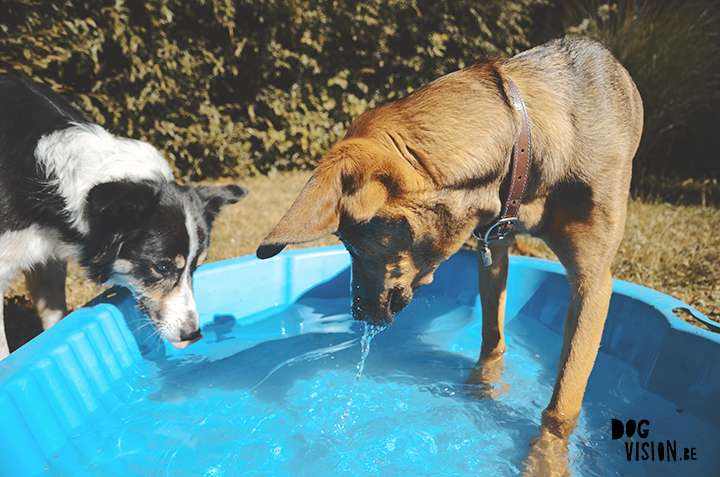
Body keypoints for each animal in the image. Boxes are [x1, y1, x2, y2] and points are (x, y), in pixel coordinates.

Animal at [256, 38, 644, 472]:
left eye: (353, 245)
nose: (355, 313)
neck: (525, 144)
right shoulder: (493, 246)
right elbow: (491, 338)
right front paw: (480, 388)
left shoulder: (592, 283)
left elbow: (562, 406)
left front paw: (546, 460)